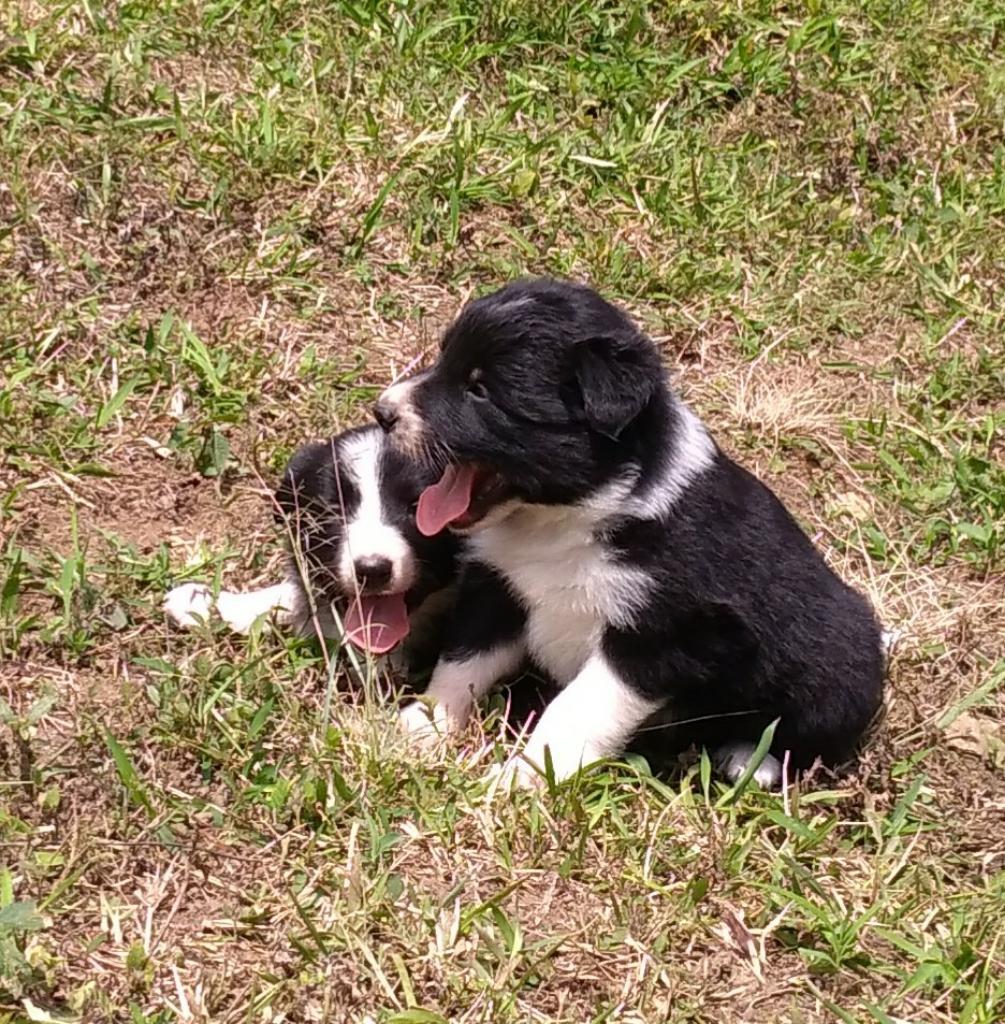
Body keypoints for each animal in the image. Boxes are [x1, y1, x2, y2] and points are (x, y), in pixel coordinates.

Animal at [372, 276, 881, 786]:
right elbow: (463, 661)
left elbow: (574, 710)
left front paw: (523, 778)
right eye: (445, 359)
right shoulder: (501, 588)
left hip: (838, 672)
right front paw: (424, 724)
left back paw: (749, 761)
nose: (382, 412)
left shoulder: (661, 636)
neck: (567, 518)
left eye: (479, 390)